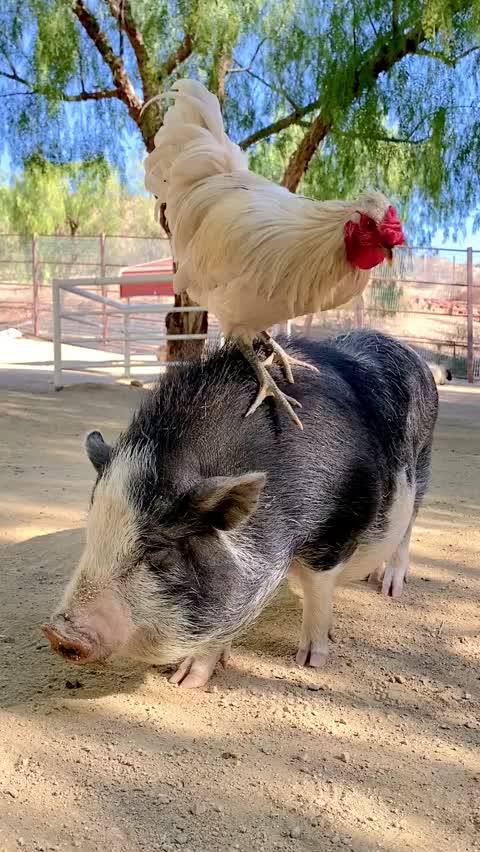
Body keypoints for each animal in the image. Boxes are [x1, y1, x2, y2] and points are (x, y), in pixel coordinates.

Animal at [43, 330, 438, 687]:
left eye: (156, 548)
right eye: (92, 533)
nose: (56, 632)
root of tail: (409, 351)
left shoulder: (335, 530)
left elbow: (317, 592)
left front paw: (309, 661)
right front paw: (185, 678)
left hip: (421, 466)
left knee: (406, 531)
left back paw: (388, 587)